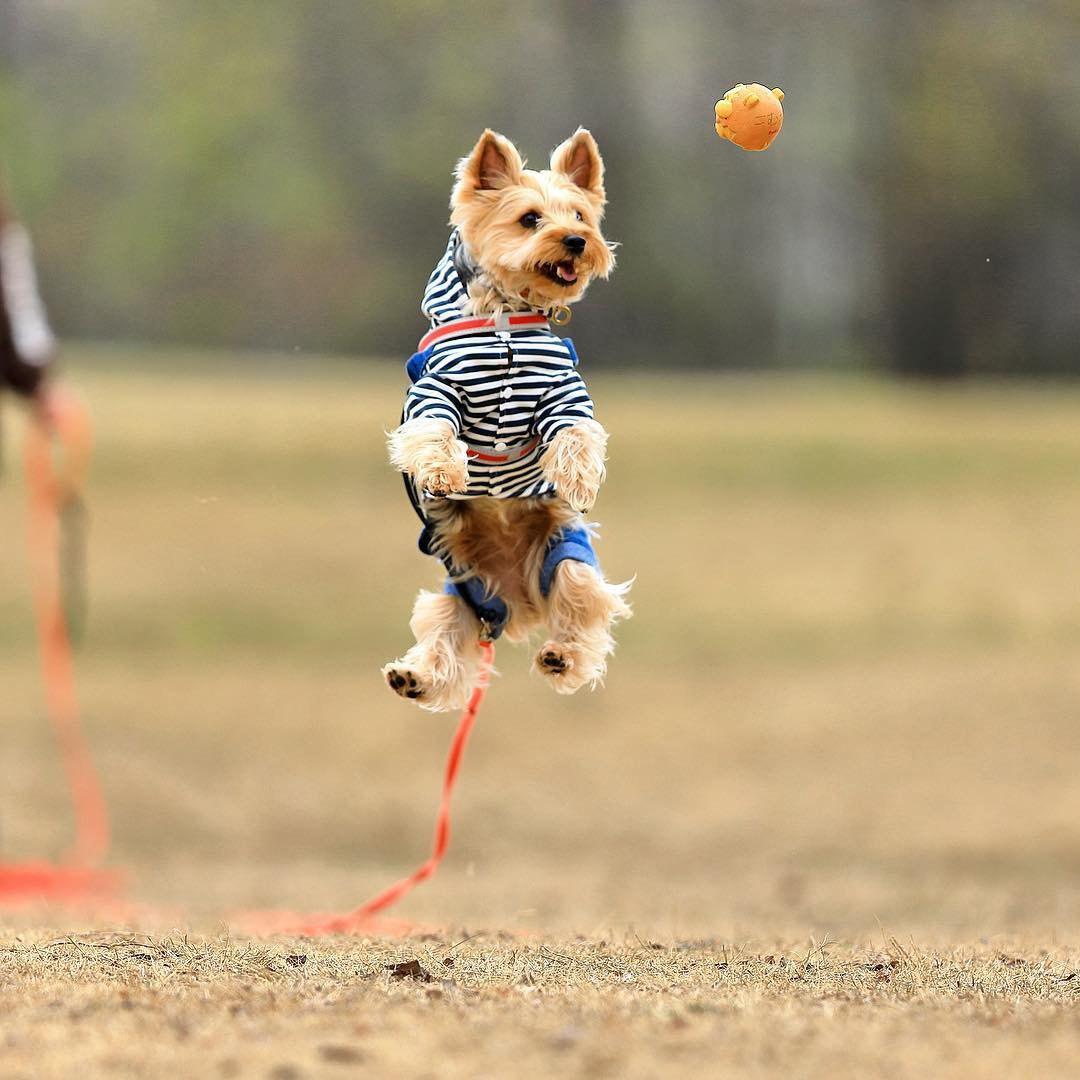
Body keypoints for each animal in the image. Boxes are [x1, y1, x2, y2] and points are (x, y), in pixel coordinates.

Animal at [382, 128, 630, 708]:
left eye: (580, 216)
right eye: (530, 219)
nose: (577, 241)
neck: (505, 321)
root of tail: (517, 606)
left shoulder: (562, 390)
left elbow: (576, 430)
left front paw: (577, 479)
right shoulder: (438, 387)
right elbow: (433, 428)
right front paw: (442, 473)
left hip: (564, 555)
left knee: (583, 607)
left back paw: (562, 656)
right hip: (458, 593)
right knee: (443, 635)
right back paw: (414, 676)